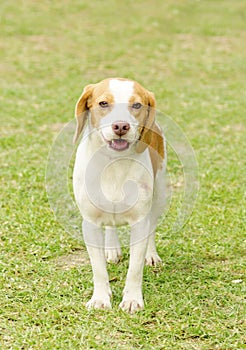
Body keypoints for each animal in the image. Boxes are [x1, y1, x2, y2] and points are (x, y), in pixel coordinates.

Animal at [72, 78, 166, 314]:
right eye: (103, 103)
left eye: (137, 105)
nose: (121, 126)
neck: (113, 163)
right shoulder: (90, 223)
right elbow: (98, 269)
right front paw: (100, 299)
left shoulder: (140, 221)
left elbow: (135, 268)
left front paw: (132, 299)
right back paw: (112, 249)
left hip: (160, 195)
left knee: (152, 226)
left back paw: (151, 255)